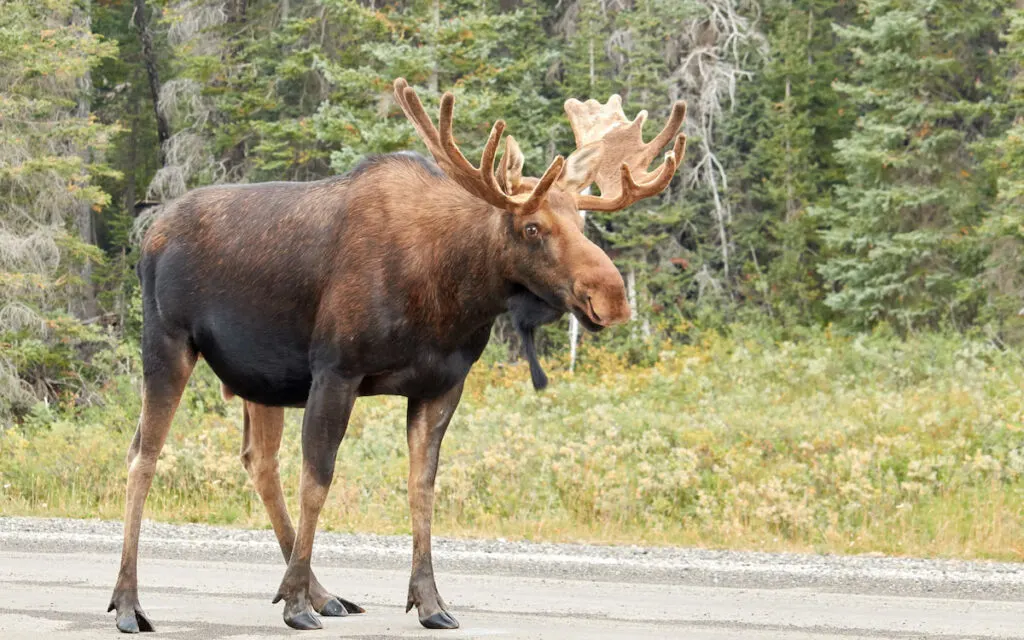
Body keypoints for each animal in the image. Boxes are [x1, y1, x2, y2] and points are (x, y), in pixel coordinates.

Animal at [108, 77, 688, 630]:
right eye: (532, 227)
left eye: (584, 222)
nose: (610, 297)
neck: (449, 296)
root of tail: (149, 234)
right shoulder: (335, 370)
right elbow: (317, 479)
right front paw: (294, 605)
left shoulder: (441, 384)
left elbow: (421, 487)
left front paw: (429, 602)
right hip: (168, 343)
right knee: (142, 456)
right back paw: (130, 603)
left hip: (261, 379)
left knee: (259, 462)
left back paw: (324, 593)